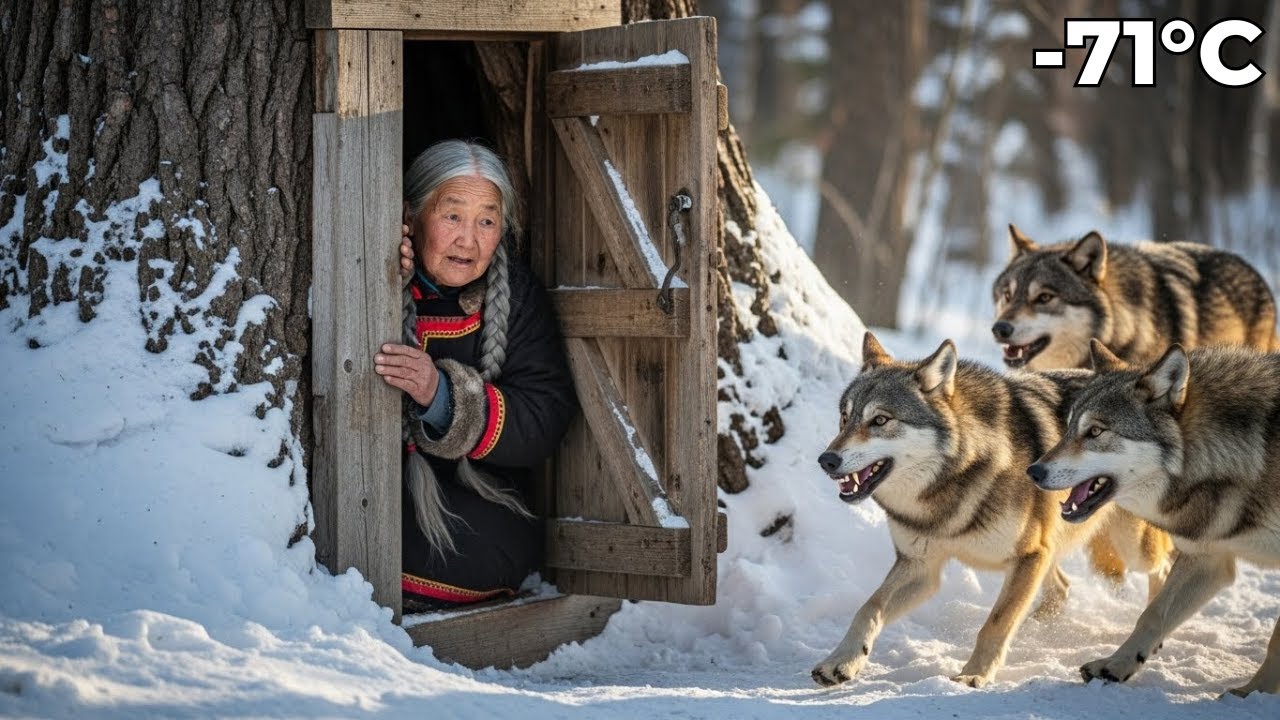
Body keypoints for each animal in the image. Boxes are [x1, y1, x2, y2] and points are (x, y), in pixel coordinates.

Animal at [812, 333, 1172, 689]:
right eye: (844, 418)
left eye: (880, 420)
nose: (826, 460)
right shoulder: (921, 567)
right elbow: (868, 608)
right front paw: (840, 662)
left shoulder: (1028, 555)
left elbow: (995, 623)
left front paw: (975, 674)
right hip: (1052, 546)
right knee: (1061, 589)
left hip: (1131, 547)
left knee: (1163, 567)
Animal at [1028, 340, 1280, 697]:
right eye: (1069, 428)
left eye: (1095, 431)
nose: (1033, 471)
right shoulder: (1209, 559)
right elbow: (1152, 614)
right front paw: (1115, 665)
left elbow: (1277, 642)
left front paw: (1255, 692)